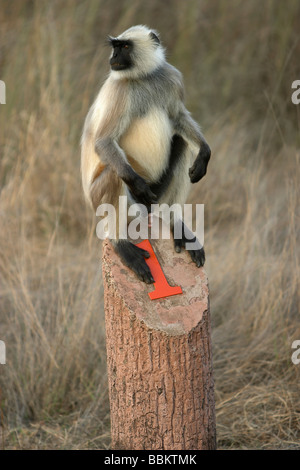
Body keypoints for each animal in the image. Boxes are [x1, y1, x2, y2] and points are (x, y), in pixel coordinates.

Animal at [80, 24, 211, 282]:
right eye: (115, 47)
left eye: (125, 46)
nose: (113, 57)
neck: (143, 77)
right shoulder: (119, 90)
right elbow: (103, 142)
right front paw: (139, 184)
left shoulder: (171, 78)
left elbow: (178, 116)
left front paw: (205, 152)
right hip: (117, 206)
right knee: (114, 174)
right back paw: (121, 243)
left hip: (156, 200)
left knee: (181, 142)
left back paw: (175, 221)